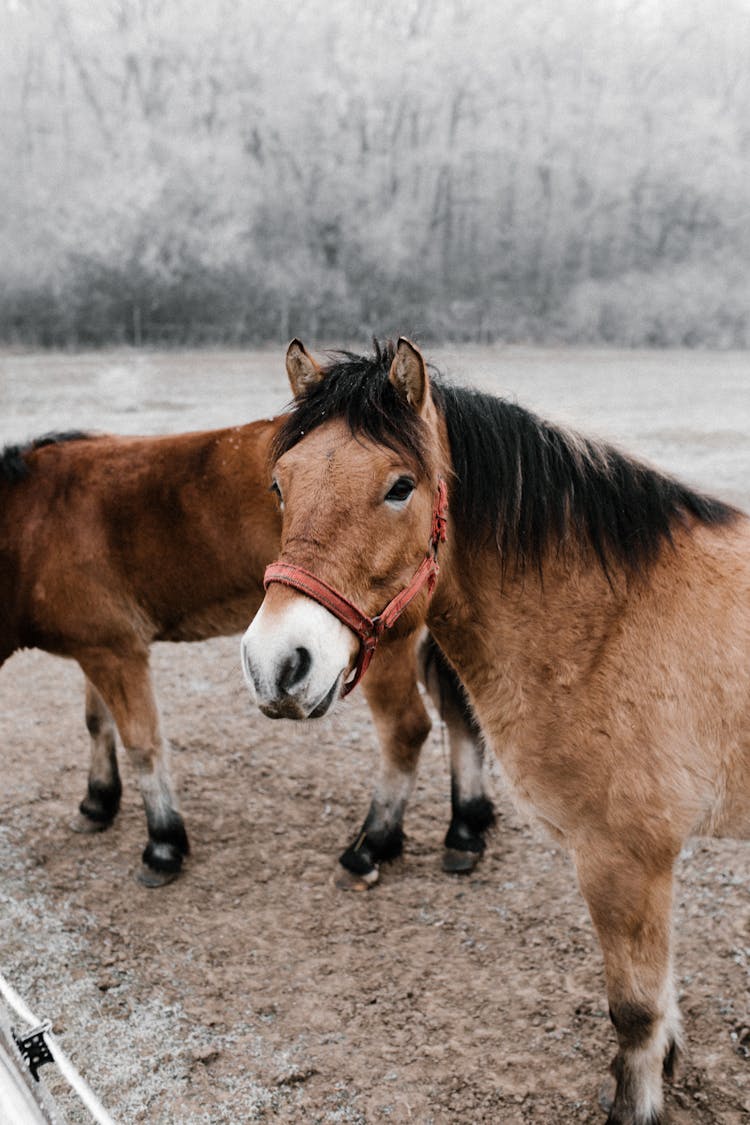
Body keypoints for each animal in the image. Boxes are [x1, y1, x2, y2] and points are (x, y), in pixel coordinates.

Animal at [0, 416, 492, 886]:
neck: (34, 527)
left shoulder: (117, 653)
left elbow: (142, 744)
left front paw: (163, 845)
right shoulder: (96, 648)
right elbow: (96, 723)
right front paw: (98, 802)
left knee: (405, 731)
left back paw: (371, 846)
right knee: (460, 713)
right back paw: (466, 829)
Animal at [241, 339, 750, 1125]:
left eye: (400, 487)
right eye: (279, 483)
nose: (277, 663)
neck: (608, 625)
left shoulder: (623, 858)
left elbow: (634, 1006)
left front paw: (634, 1104)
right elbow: (660, 994)